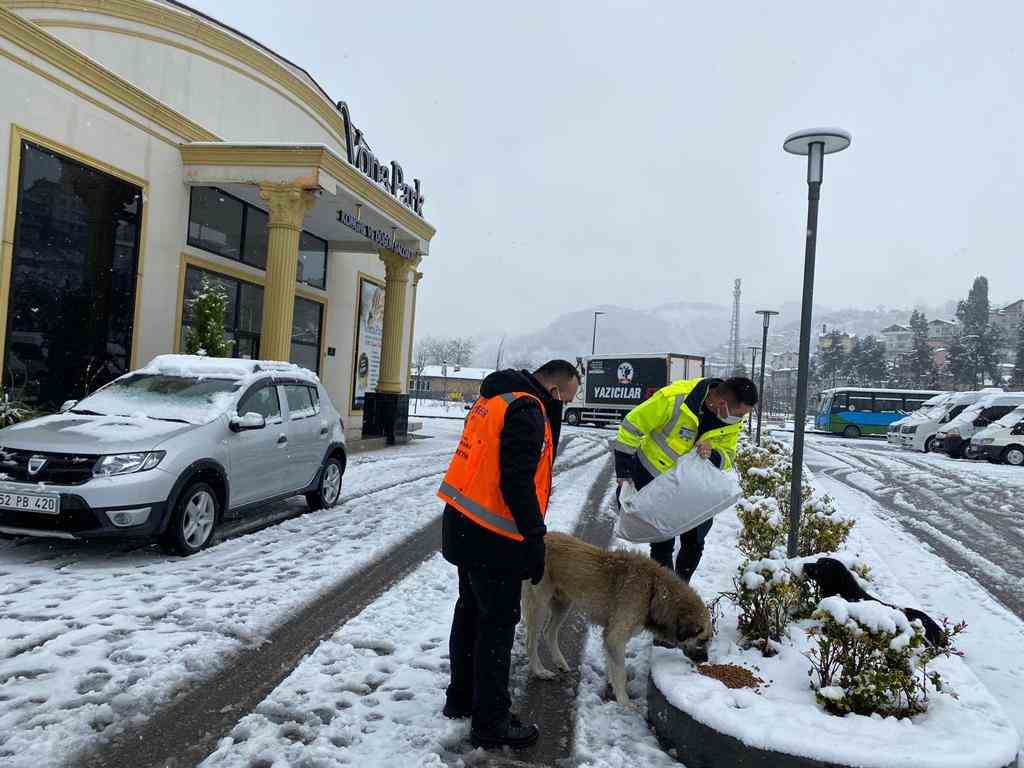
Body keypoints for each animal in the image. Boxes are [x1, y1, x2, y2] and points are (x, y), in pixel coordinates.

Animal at [524, 536, 708, 704]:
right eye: (702, 640)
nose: (705, 661)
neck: (654, 590)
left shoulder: (610, 635)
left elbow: (612, 666)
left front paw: (613, 687)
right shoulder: (615, 637)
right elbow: (621, 672)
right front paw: (624, 702)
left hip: (563, 604)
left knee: (549, 632)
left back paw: (560, 662)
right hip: (539, 605)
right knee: (531, 641)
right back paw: (540, 671)